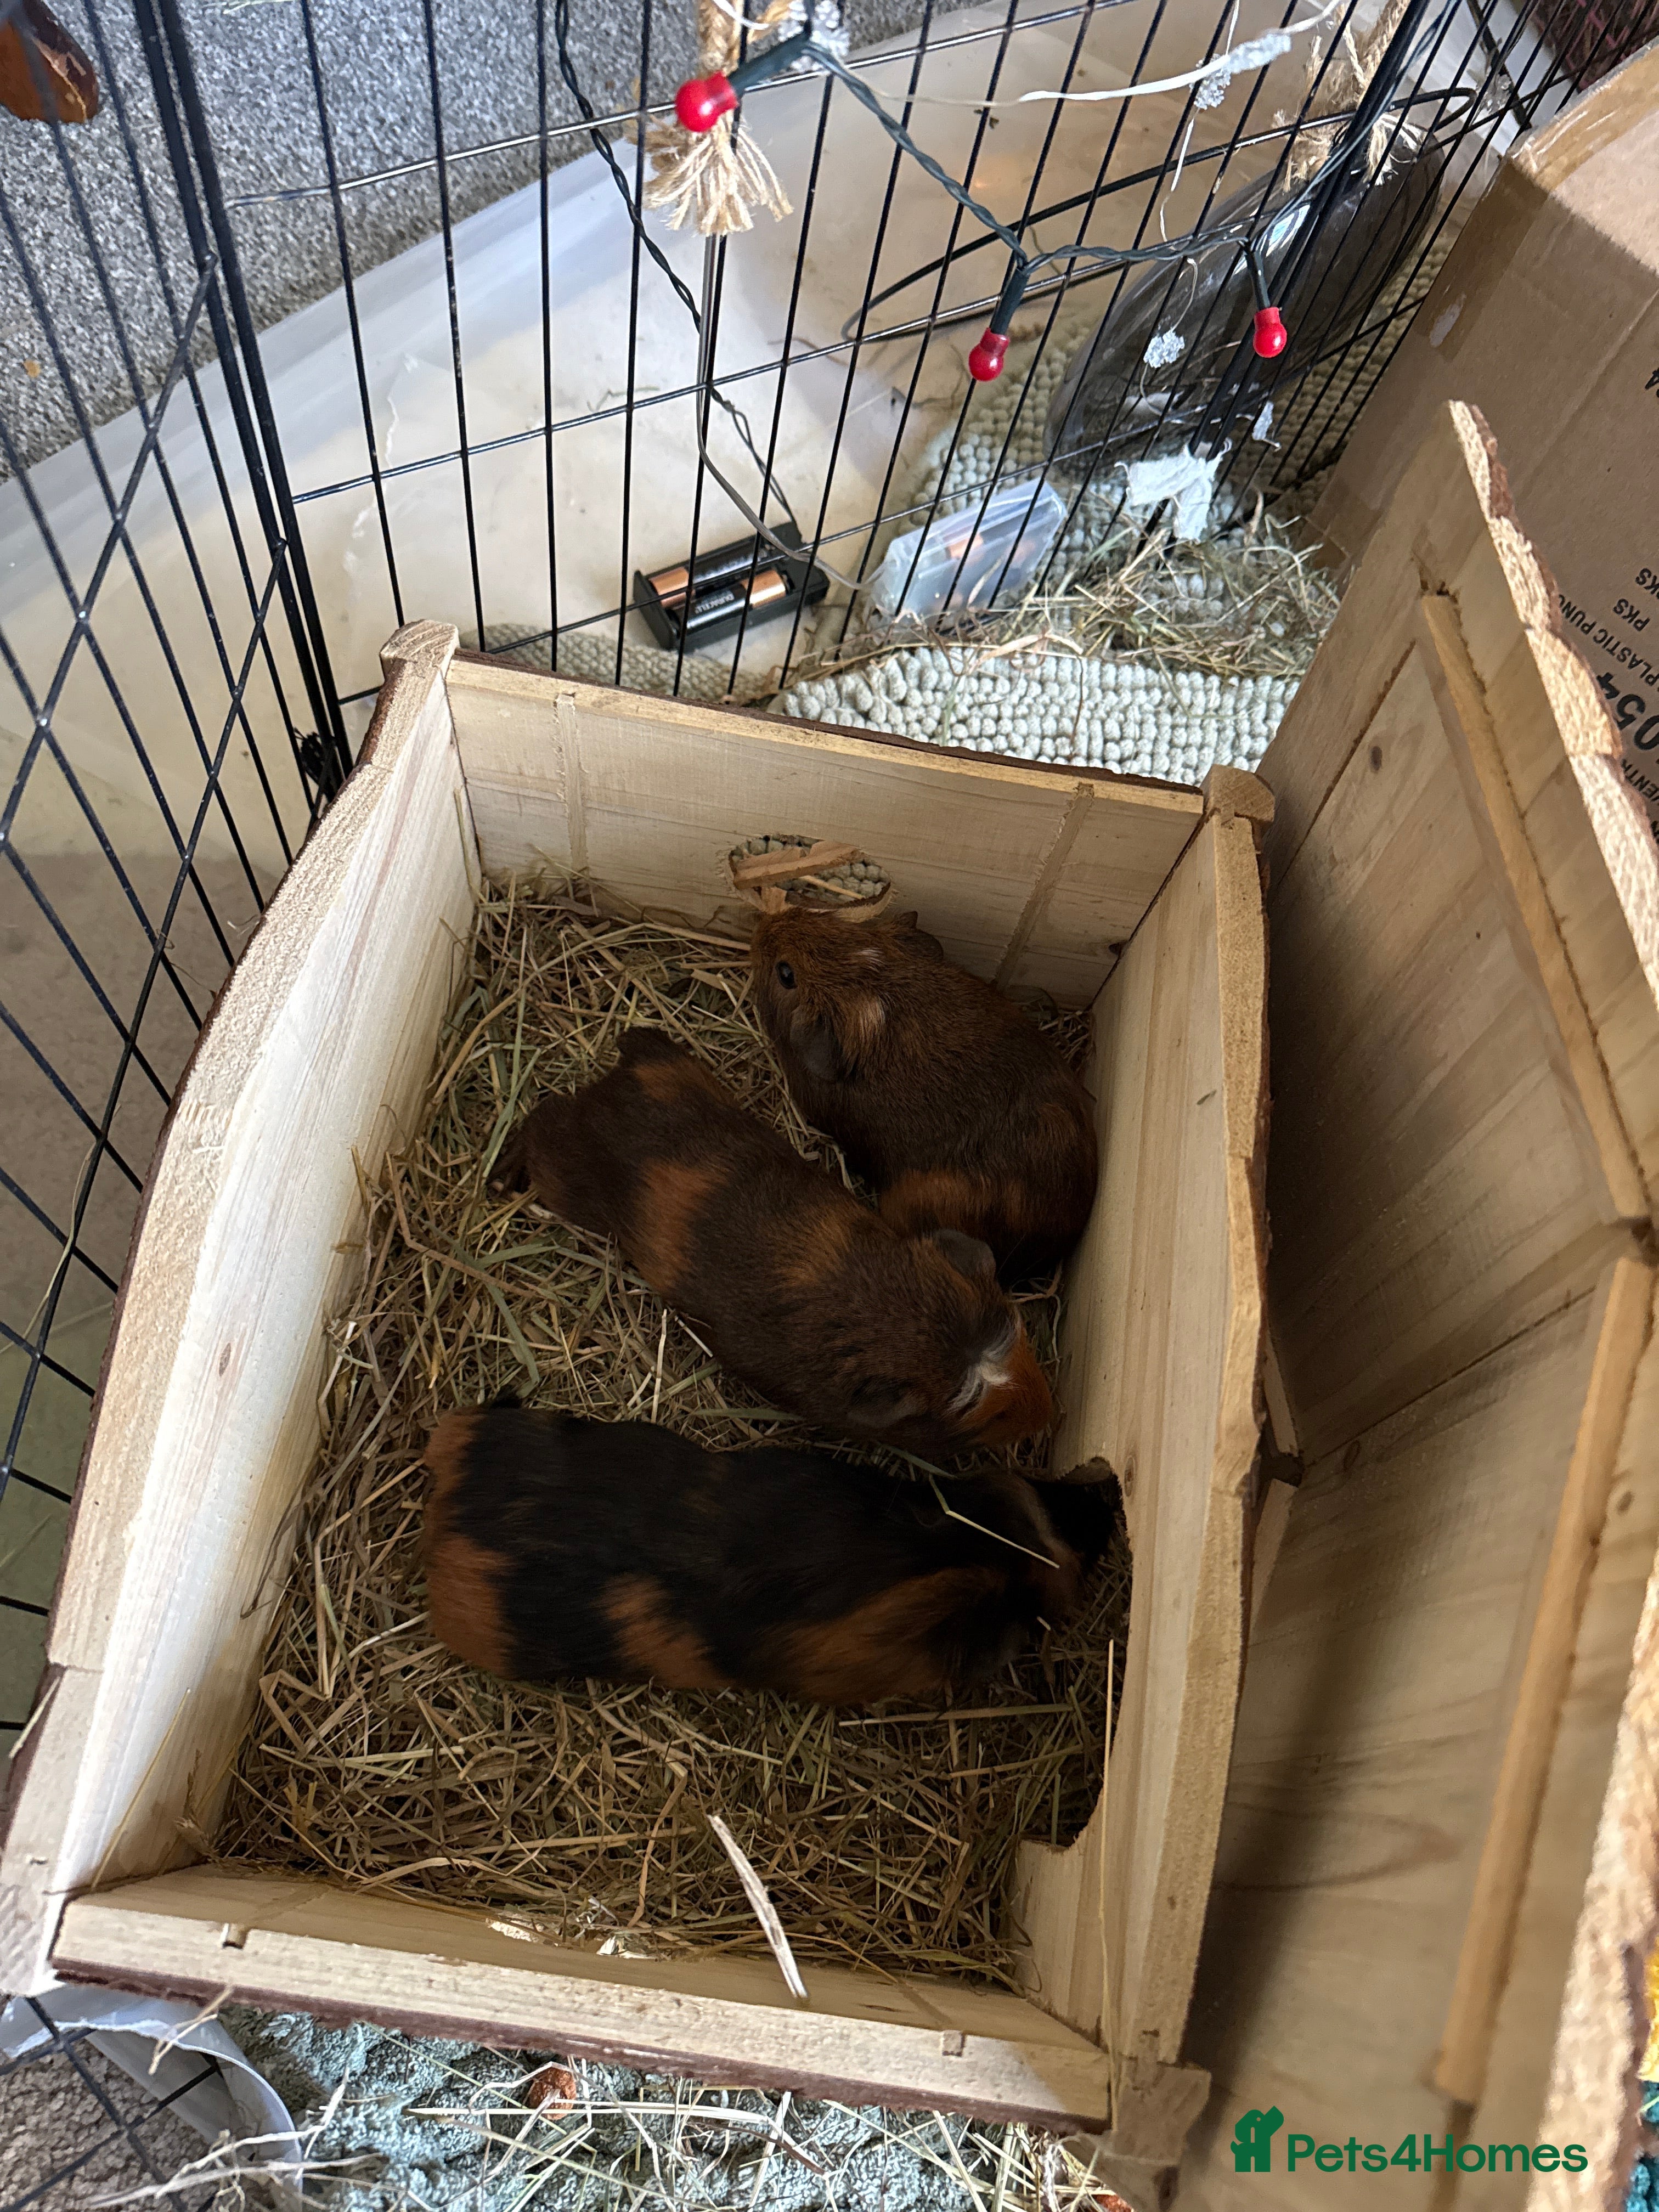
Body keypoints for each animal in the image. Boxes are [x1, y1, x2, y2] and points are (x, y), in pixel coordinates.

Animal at [491, 1027, 1051, 1458]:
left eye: (1020, 1333)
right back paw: (502, 1176)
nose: (1046, 1416)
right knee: (541, 1116)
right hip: (561, 1173)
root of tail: (622, 1079)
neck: (887, 1309)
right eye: (988, 1417)